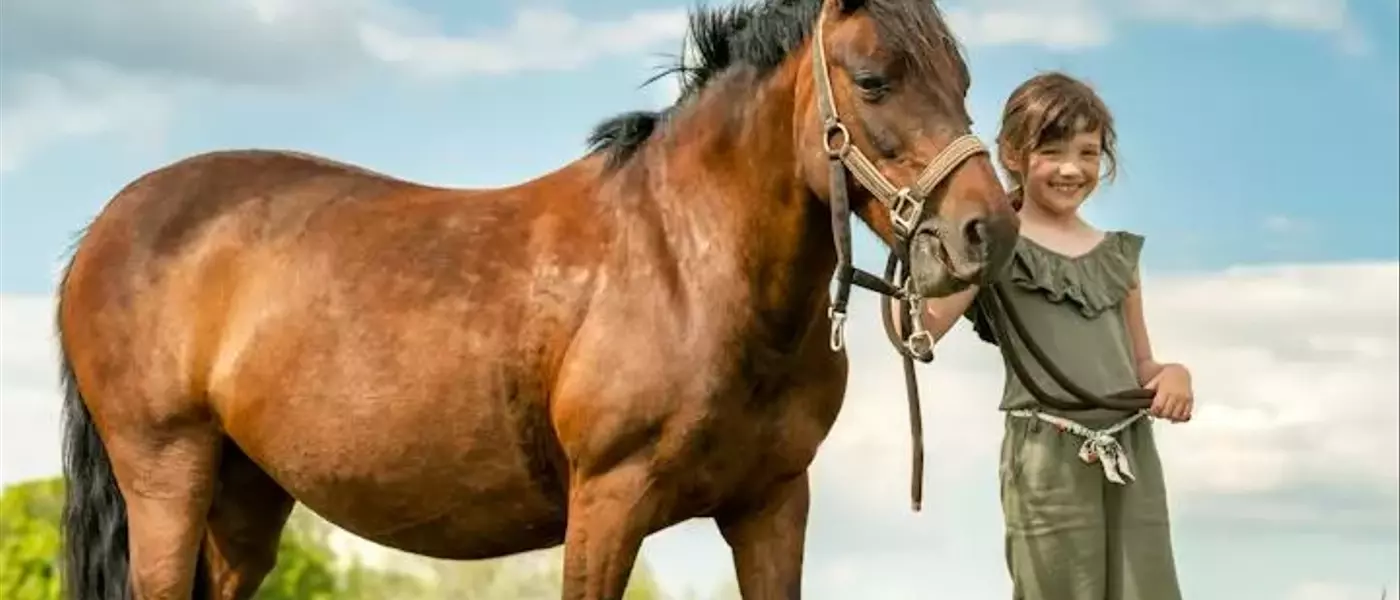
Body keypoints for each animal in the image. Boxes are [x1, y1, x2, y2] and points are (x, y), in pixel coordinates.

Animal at [55, 0, 1019, 598]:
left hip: (244, 495)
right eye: (874, 79)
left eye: (964, 83)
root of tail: (104, 228)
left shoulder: (772, 505)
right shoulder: (608, 503)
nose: (989, 230)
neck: (688, 264)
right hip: (167, 473)